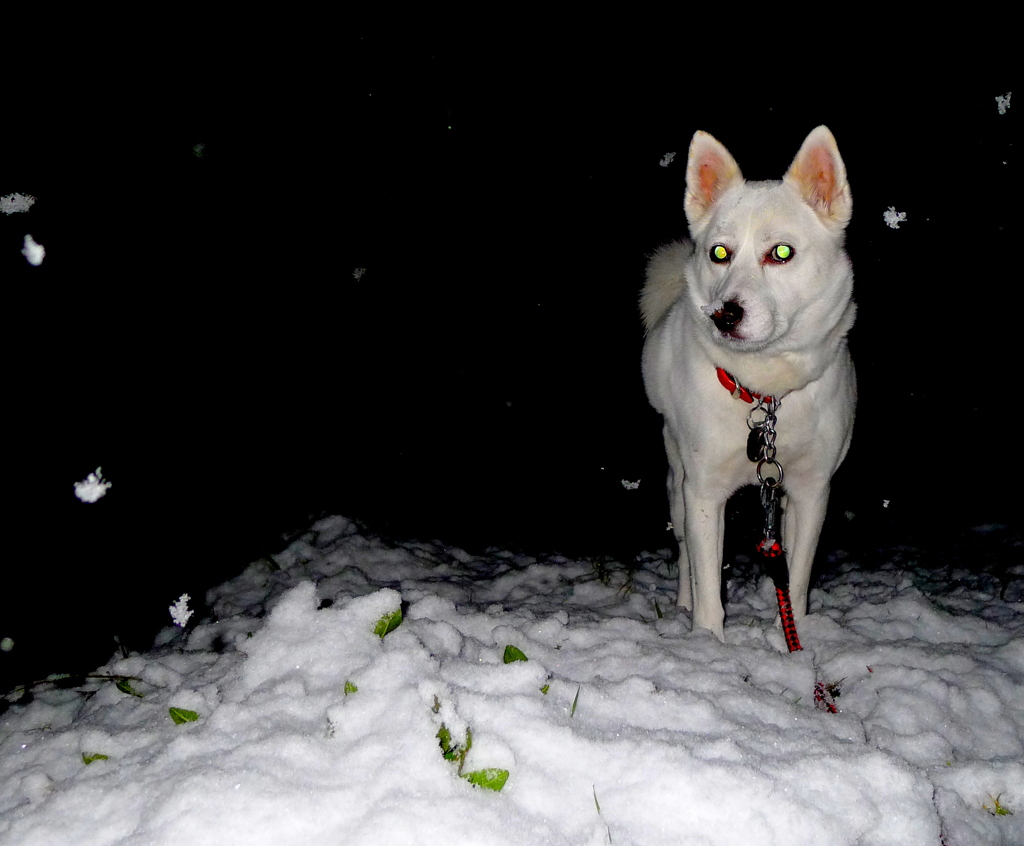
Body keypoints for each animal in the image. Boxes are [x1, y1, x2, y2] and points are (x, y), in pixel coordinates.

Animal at [638, 127, 856, 639]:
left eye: (781, 253)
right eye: (719, 252)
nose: (724, 314)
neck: (765, 389)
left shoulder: (810, 491)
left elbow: (797, 578)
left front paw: (788, 639)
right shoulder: (703, 492)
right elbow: (707, 586)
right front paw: (707, 643)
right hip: (677, 485)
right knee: (685, 557)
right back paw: (682, 604)